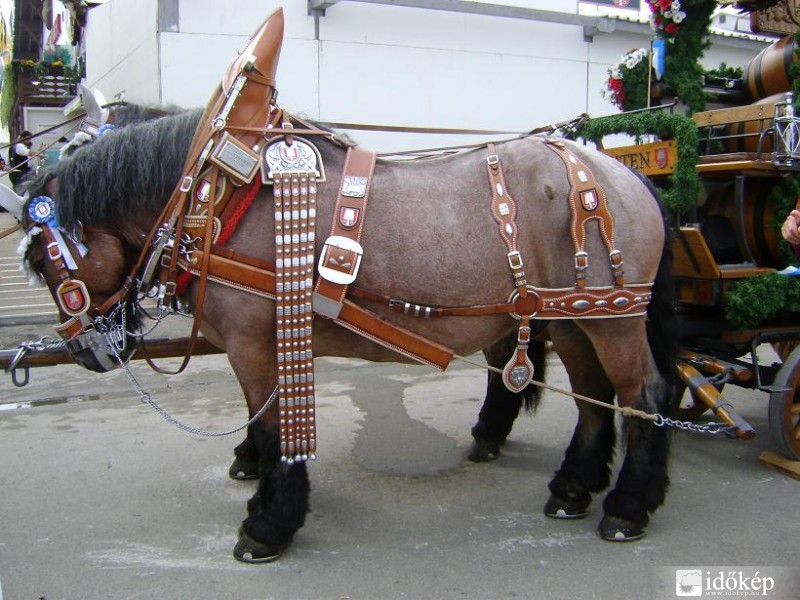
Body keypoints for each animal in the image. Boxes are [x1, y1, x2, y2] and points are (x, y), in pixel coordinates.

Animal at [20, 105, 676, 560]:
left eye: (43, 260)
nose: (85, 349)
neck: (219, 194)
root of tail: (620, 175)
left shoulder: (254, 344)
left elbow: (272, 428)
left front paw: (268, 524)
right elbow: (264, 424)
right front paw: (261, 487)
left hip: (613, 318)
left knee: (643, 397)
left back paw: (627, 506)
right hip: (572, 319)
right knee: (594, 399)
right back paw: (572, 488)